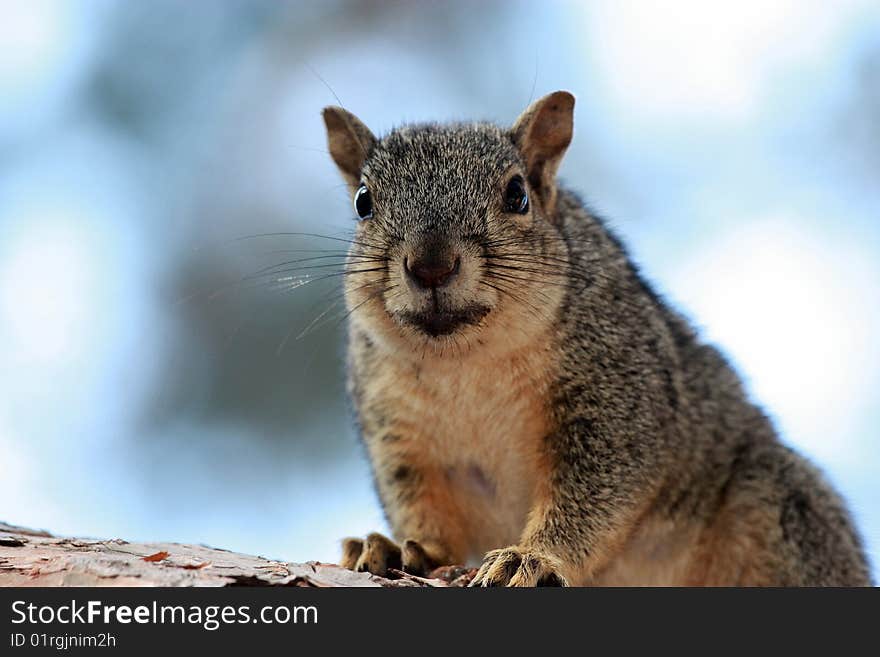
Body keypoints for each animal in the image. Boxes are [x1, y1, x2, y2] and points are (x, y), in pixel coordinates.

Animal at [320, 88, 868, 584]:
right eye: (364, 202)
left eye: (517, 194)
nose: (431, 265)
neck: (464, 362)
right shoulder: (398, 433)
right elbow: (423, 508)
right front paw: (400, 548)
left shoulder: (617, 390)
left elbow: (594, 492)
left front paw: (531, 558)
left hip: (776, 504)